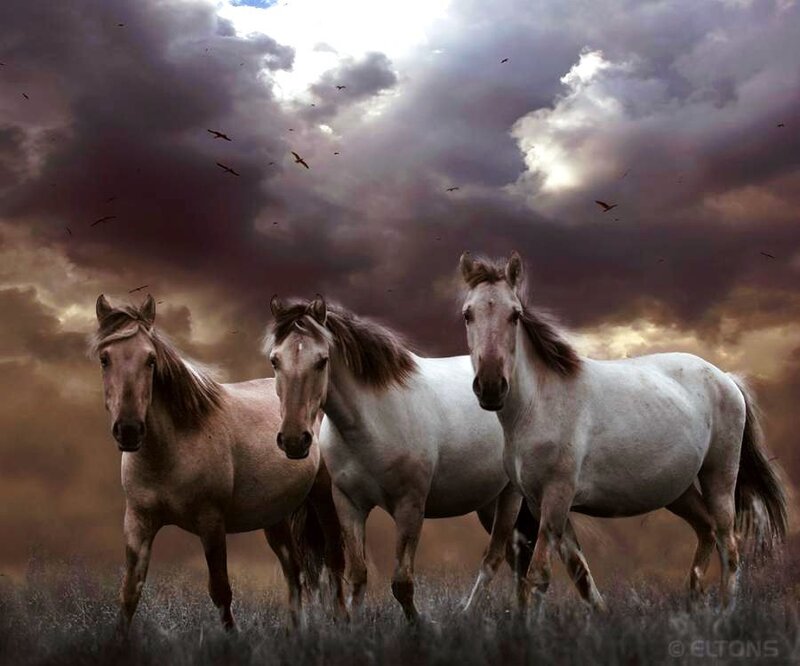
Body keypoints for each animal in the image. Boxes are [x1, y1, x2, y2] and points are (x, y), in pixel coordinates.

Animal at [89, 294, 346, 633]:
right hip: (274, 516)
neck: (172, 448)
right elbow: (130, 591)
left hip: (322, 497)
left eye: (151, 360)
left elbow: (221, 589)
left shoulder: (211, 523)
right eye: (105, 359)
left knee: (334, 558)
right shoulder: (138, 522)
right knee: (295, 571)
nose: (129, 430)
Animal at [263, 295, 601, 622]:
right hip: (491, 503)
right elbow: (358, 576)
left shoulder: (410, 505)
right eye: (275, 360)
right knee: (527, 556)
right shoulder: (349, 503)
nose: (294, 440)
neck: (373, 418)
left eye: (322, 361)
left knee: (497, 557)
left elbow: (402, 583)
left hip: (512, 497)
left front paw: (420, 626)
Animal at [458, 251, 788, 610]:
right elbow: (579, 573)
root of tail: (726, 378)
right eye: (468, 314)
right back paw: (694, 603)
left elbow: (539, 575)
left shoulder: (556, 497)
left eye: (515, 315)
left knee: (729, 544)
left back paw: (725, 611)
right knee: (707, 530)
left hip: (720, 477)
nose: (491, 386)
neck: (539, 405)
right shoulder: (537, 502)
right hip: (679, 490)